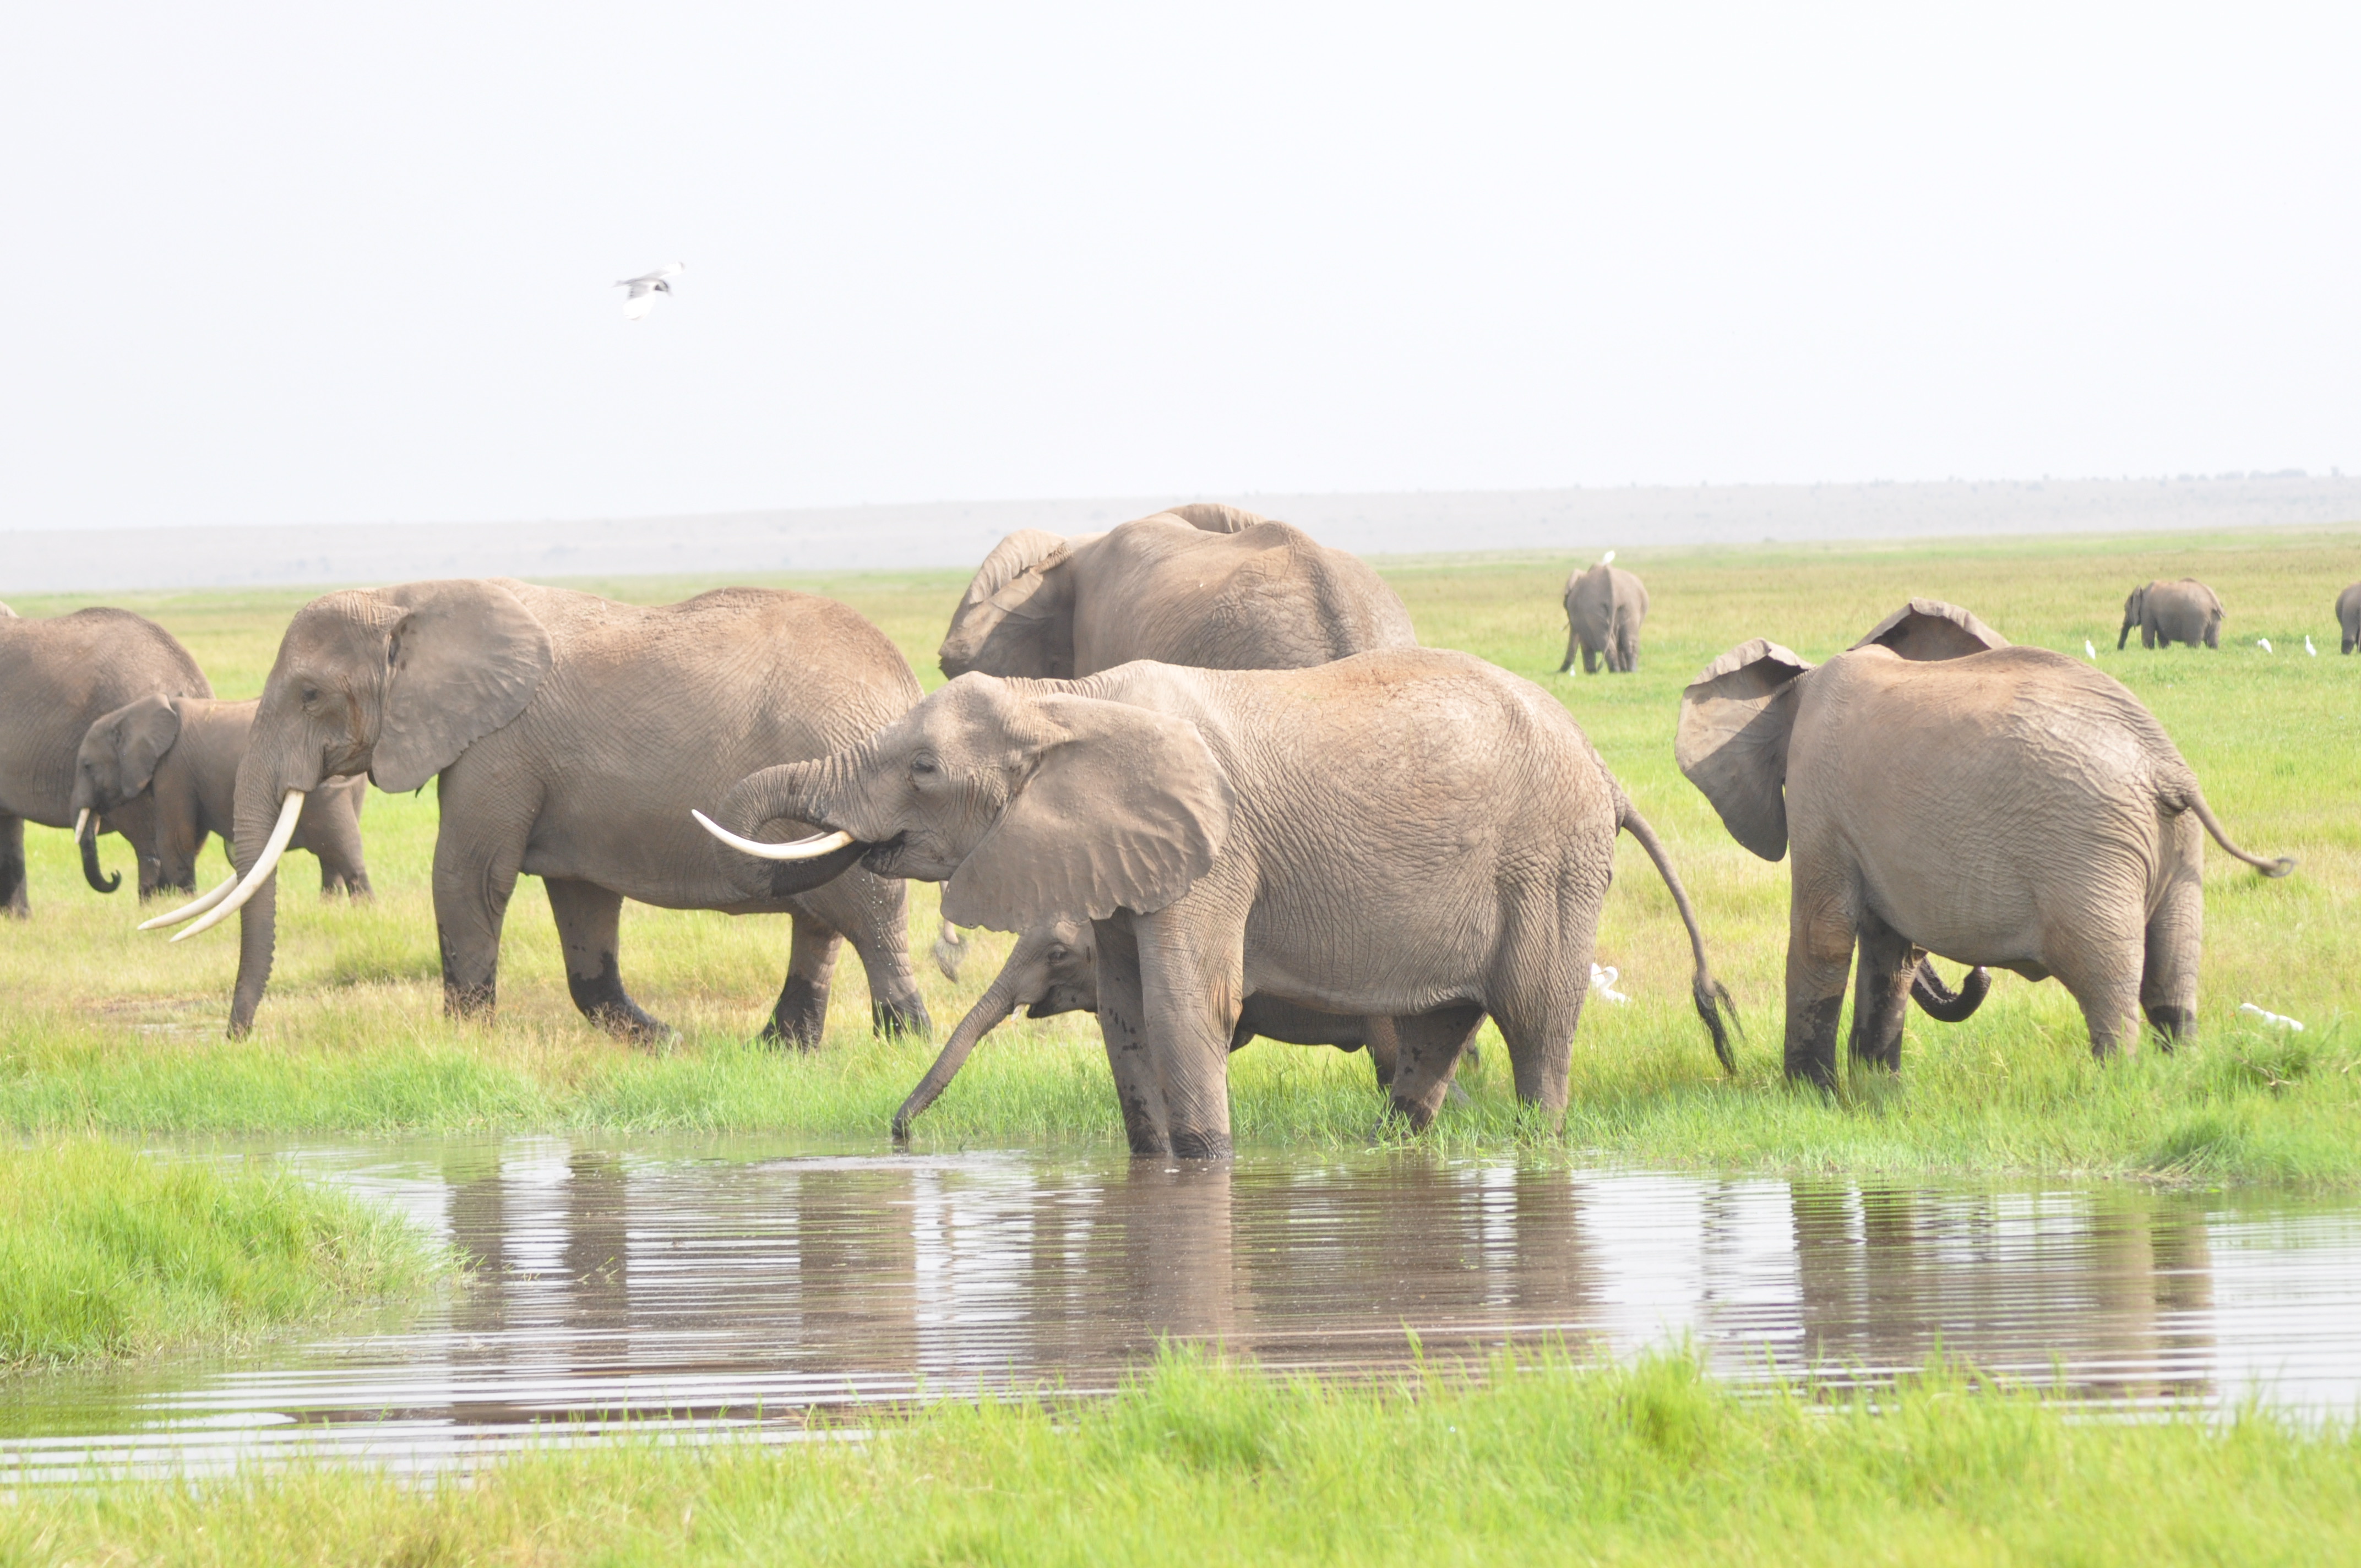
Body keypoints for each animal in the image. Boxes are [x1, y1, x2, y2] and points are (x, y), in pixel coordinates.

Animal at [71, 695, 371, 900]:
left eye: (87, 766)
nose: (115, 875)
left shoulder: (174, 769)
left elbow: (176, 838)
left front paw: (184, 903)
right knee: (331, 858)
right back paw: (330, 907)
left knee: (342, 850)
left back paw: (364, 909)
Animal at [145, 578, 932, 1044]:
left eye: (309, 695)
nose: (237, 1037)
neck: (407, 596)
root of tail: (902, 678)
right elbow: (582, 905)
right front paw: (664, 1041)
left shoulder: (498, 746)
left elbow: (469, 876)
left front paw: (464, 1044)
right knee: (821, 923)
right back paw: (778, 1050)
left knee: (870, 916)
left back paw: (905, 1038)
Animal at [1559, 558, 1648, 674]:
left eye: (1566, 605)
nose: (1558, 672)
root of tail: (1613, 589)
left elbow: (1585, 644)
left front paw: (1591, 673)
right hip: (1629, 605)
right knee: (1628, 639)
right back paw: (1630, 671)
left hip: (1594, 610)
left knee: (1605, 640)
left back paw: (1614, 671)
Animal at [1676, 598, 2292, 1088]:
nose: (1976, 974)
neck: (1797, 686)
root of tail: (2166, 765)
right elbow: (1888, 953)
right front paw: (1876, 1092)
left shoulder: (1818, 797)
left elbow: (1823, 936)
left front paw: (1811, 1095)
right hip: (2175, 846)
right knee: (2173, 969)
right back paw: (2176, 1074)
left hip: (2091, 854)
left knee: (2106, 978)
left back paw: (2114, 1083)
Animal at [2118, 578, 2223, 650]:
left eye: (2125, 609)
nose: (2120, 650)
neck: (2142, 591)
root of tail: (2214, 600)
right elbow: (2163, 637)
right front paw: (2164, 650)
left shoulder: (2147, 611)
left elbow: (2148, 636)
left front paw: (2149, 650)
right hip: (2215, 618)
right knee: (2212, 643)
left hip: (2196, 619)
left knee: (2193, 644)